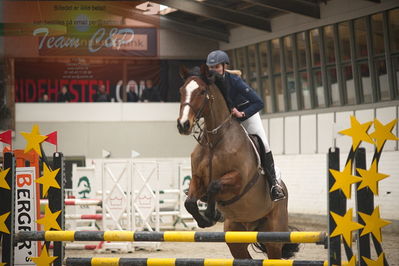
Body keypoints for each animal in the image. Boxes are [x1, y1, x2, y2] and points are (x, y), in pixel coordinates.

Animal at [177, 65, 298, 260]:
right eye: (181, 91)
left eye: (202, 91)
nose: (183, 125)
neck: (214, 141)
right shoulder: (197, 179)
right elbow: (190, 202)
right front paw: (204, 221)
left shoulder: (238, 181)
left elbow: (214, 186)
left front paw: (211, 214)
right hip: (236, 240)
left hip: (273, 239)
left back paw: (276, 192)